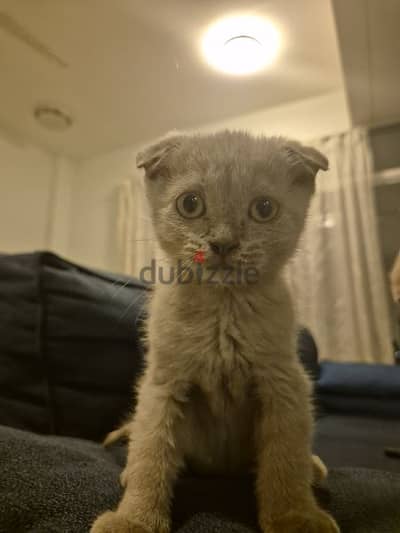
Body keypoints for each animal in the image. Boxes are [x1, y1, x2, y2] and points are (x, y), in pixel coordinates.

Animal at [92, 130, 340, 532]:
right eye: (190, 204)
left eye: (264, 208)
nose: (223, 243)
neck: (223, 313)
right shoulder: (162, 384)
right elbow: (151, 452)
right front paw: (135, 519)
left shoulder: (284, 383)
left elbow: (284, 459)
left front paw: (295, 517)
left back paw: (312, 467)